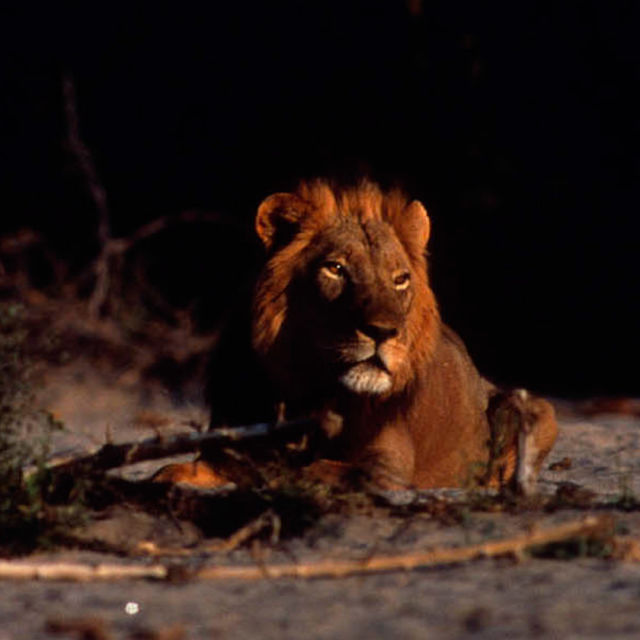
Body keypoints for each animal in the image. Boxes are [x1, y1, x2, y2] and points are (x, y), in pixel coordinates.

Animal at [158, 180, 557, 491]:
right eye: (335, 268)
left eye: (400, 279)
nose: (383, 332)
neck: (311, 388)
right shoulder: (225, 449)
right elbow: (174, 470)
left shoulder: (388, 468)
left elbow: (320, 471)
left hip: (535, 408)